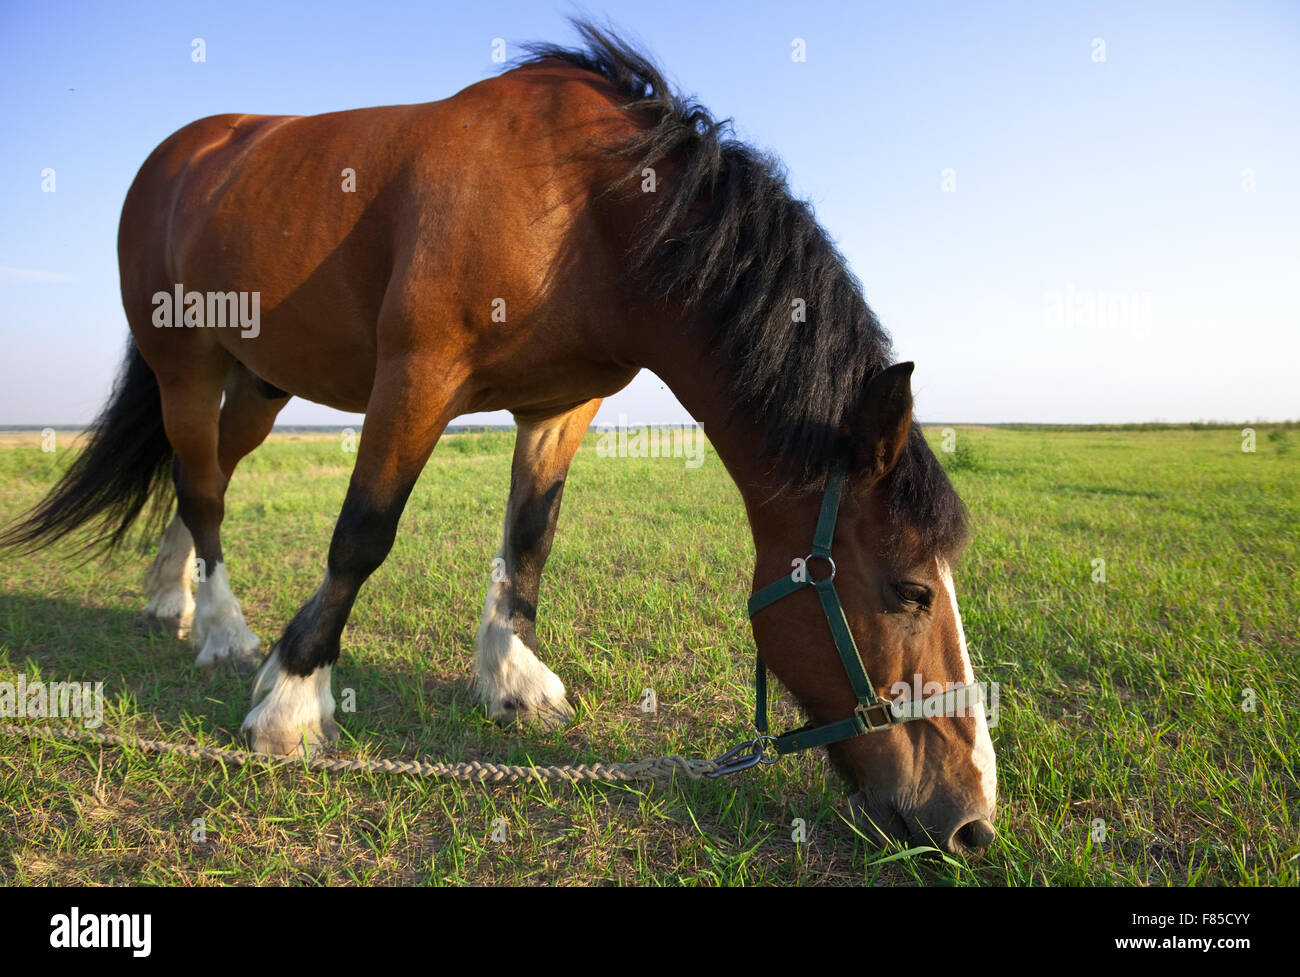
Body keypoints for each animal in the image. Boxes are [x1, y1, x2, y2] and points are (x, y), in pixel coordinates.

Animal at [1, 22, 997, 856]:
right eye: (911, 591)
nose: (972, 819)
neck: (584, 207)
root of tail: (183, 153)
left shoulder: (561, 407)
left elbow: (529, 540)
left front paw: (512, 679)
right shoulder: (418, 377)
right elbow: (362, 535)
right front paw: (291, 701)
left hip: (258, 380)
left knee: (199, 473)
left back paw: (174, 598)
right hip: (186, 365)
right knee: (204, 484)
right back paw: (223, 631)